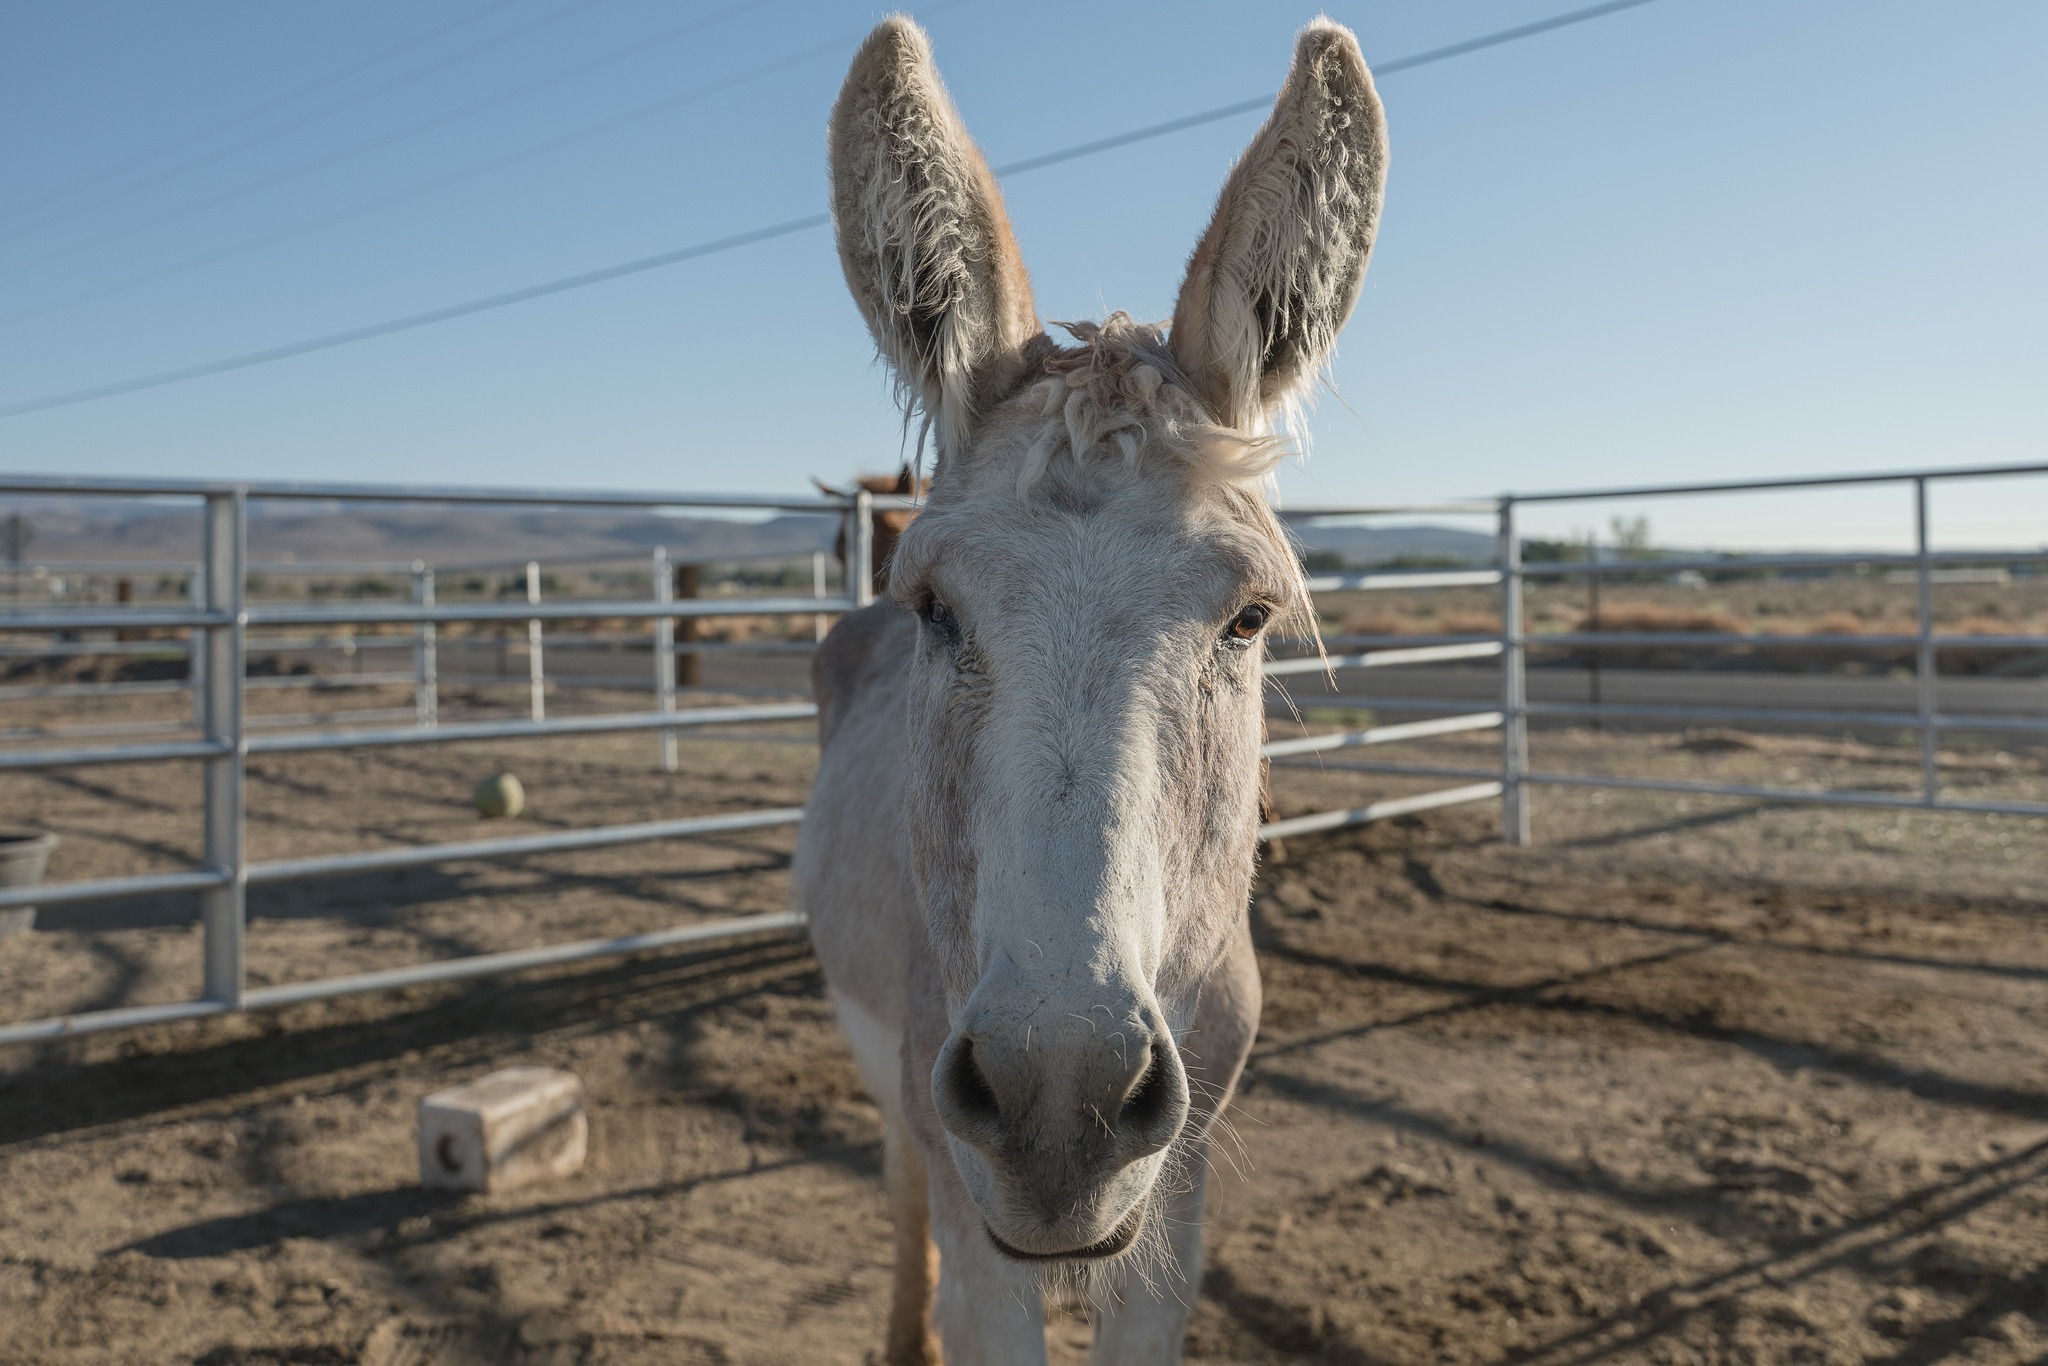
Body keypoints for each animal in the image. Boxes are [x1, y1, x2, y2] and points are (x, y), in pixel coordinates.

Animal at [794, 16, 1386, 1363]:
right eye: (934, 609)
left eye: (1248, 618)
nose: (1055, 1101)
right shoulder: (978, 1227)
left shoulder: (1176, 1205)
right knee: (900, 1180)